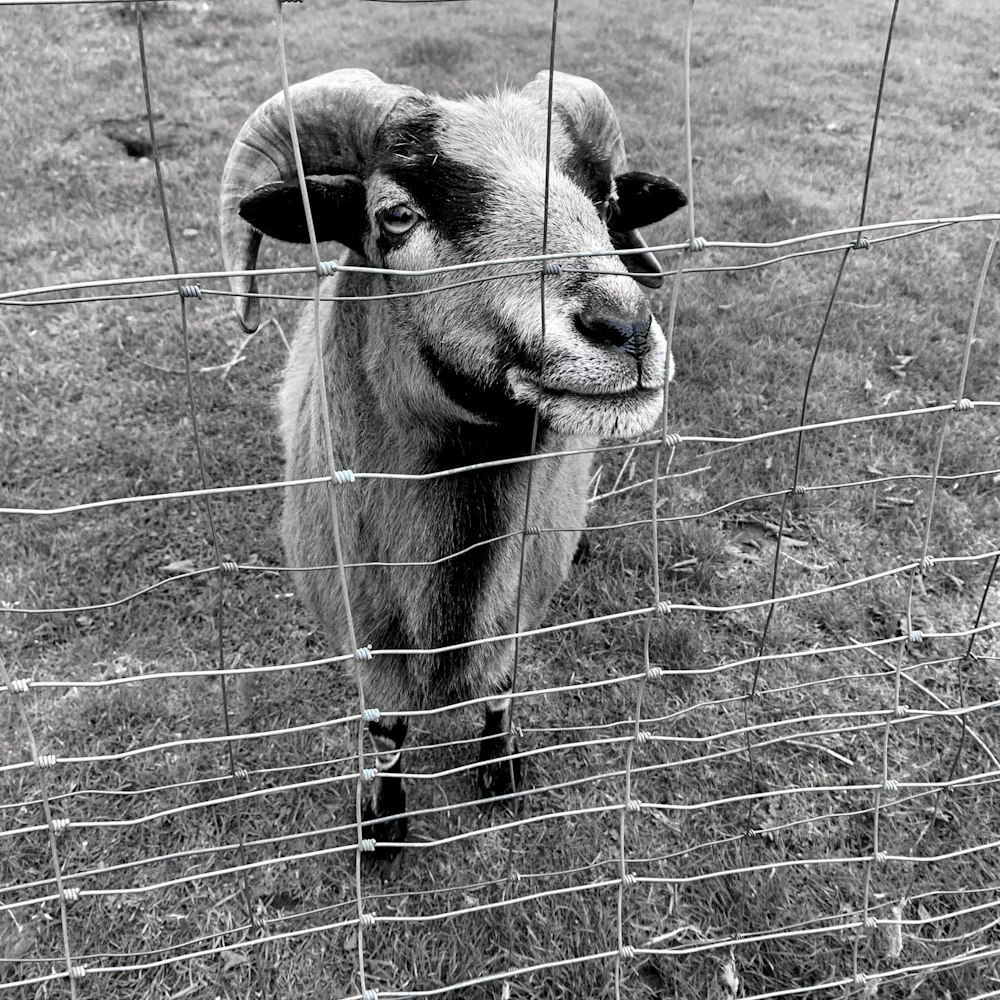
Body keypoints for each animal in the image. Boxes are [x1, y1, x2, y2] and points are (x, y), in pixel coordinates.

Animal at [220, 70, 688, 872]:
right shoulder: (361, 630)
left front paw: (499, 773)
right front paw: (382, 827)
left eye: (606, 204)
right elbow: (384, 730)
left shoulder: (518, 602)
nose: (623, 329)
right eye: (396, 217)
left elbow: (502, 686)